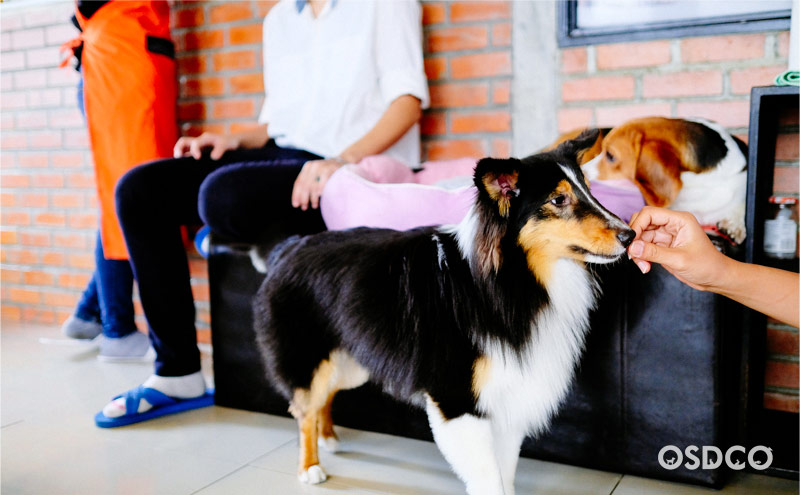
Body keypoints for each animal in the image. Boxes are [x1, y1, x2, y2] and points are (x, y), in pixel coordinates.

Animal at [253, 130, 636, 494]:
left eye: (590, 191)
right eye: (559, 200)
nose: (630, 234)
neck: (508, 281)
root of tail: (289, 247)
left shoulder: (506, 394)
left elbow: (505, 472)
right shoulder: (458, 400)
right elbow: (488, 478)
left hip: (352, 361)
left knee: (326, 397)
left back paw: (329, 438)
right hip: (309, 357)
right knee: (304, 408)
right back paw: (310, 466)